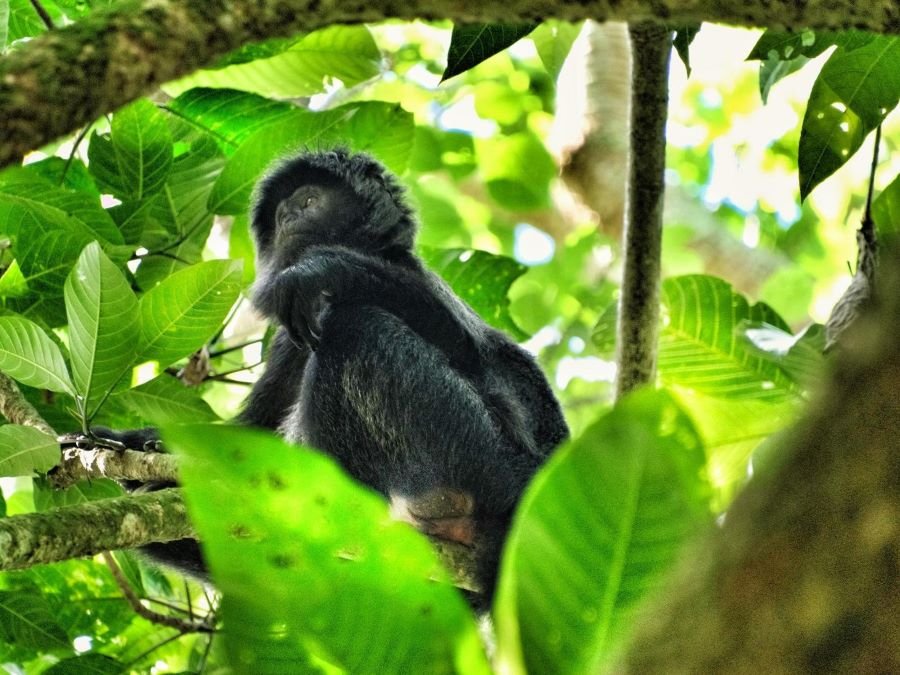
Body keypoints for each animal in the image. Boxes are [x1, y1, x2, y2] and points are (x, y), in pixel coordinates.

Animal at [97, 148, 569, 604]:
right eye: (281, 213)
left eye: (309, 201)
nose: (289, 218)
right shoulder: (289, 340)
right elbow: (255, 427)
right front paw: (141, 443)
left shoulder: (407, 270)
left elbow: (474, 353)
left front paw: (320, 270)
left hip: (481, 454)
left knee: (358, 326)